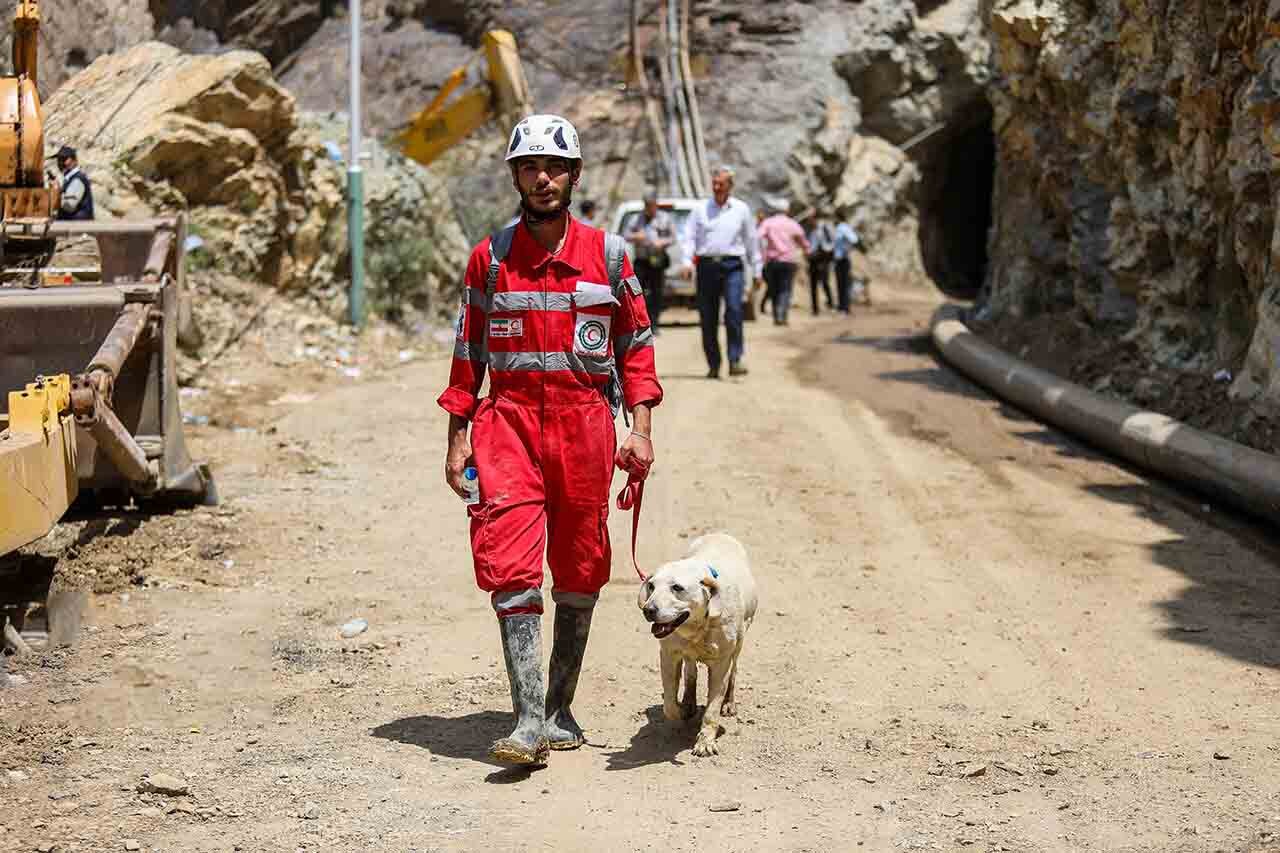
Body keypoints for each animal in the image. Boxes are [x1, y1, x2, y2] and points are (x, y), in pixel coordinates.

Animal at [634, 527, 752, 753]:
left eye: (677, 588)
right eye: (651, 586)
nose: (648, 610)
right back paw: (688, 702)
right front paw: (680, 713)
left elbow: (712, 709)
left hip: (740, 641)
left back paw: (729, 703)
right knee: (690, 672)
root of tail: (720, 534)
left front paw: (705, 741)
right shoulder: (668, 655)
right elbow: (669, 701)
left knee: (734, 670)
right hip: (687, 655)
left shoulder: (722, 663)